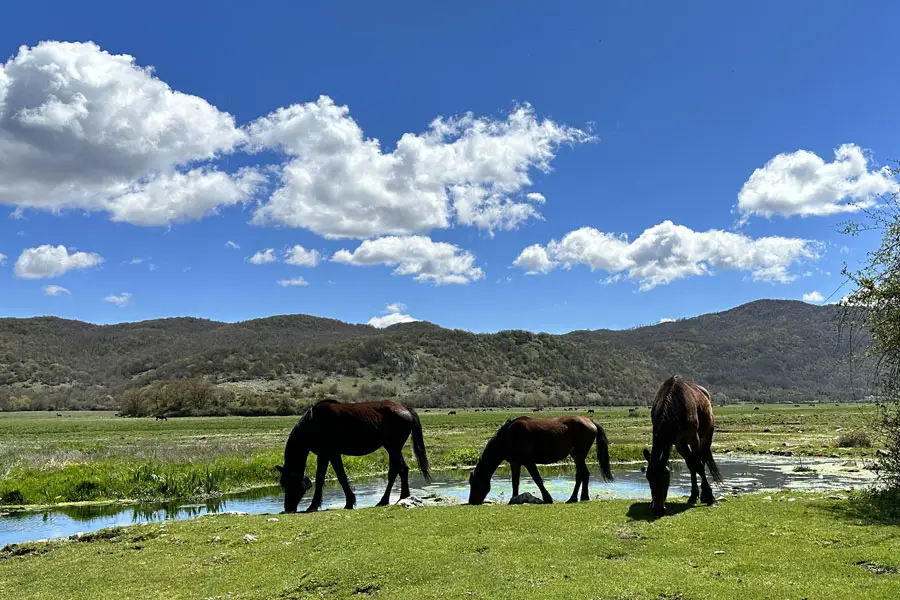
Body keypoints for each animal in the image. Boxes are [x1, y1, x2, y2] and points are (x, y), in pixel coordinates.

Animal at [276, 398, 430, 510]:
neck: (313, 422)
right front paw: (348, 502)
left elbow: (329, 478)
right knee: (402, 469)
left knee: (395, 470)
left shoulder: (328, 454)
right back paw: (403, 497)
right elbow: (337, 477)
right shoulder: (329, 455)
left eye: (288, 485)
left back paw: (384, 500)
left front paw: (314, 506)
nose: (288, 508)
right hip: (394, 448)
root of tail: (405, 408)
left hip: (393, 448)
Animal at [468, 418, 616, 506]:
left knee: (582, 474)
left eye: (474, 484)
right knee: (582, 474)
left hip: (579, 455)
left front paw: (547, 498)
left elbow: (537, 479)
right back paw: (579, 497)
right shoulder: (515, 463)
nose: (471, 501)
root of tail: (590, 421)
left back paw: (576, 498)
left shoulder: (529, 462)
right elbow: (515, 482)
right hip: (576, 456)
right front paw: (514, 499)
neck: (508, 438)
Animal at [640, 376, 724, 516]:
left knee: (701, 460)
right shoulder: (679, 442)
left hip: (706, 438)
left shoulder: (693, 438)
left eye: (666, 476)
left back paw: (704, 495)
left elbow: (699, 466)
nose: (657, 509)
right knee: (692, 464)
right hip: (682, 446)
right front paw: (696, 496)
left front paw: (711, 498)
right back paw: (693, 496)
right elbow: (693, 465)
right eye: (648, 477)